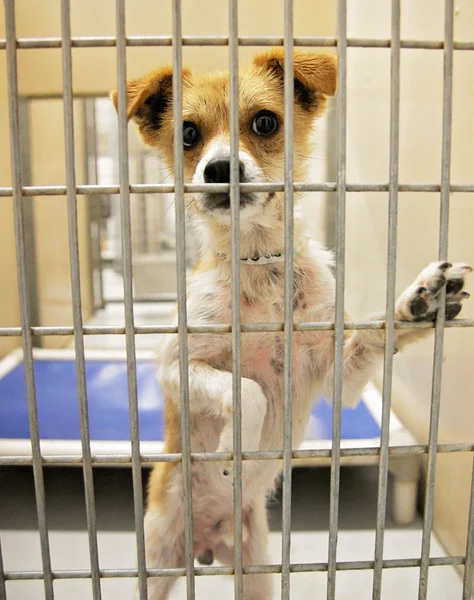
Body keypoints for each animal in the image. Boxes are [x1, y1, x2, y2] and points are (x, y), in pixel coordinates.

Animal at [113, 51, 472, 600]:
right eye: (188, 133)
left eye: (265, 122)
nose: (220, 169)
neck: (261, 263)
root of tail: (206, 545)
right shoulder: (174, 367)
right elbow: (247, 389)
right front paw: (234, 446)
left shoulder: (336, 377)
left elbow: (373, 334)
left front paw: (419, 303)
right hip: (157, 557)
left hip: (258, 570)